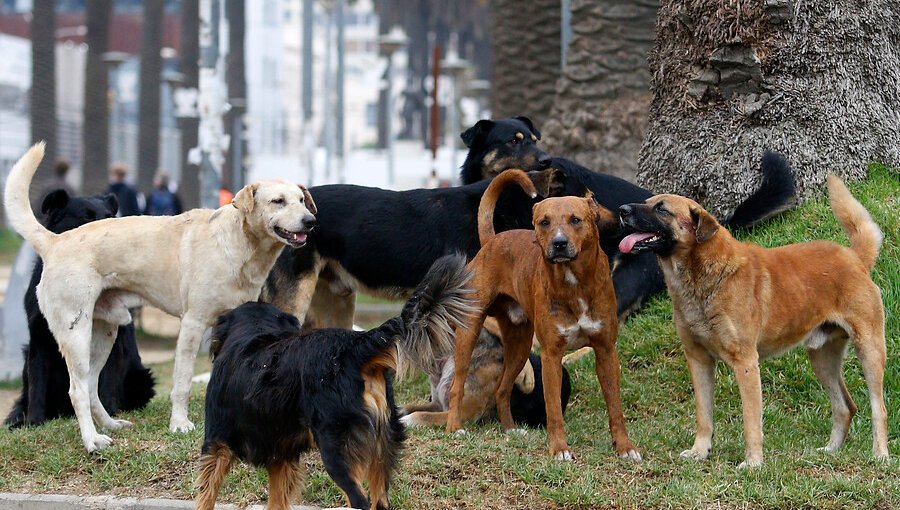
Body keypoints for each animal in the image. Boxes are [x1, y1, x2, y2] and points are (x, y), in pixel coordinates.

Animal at [4, 189, 156, 428]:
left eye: (110, 218)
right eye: (86, 218)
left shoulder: (114, 337)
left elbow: (105, 381)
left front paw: (108, 413)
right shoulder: (39, 336)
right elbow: (37, 384)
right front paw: (35, 422)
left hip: (141, 378)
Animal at [199, 256, 478, 510]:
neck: (255, 332)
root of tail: (357, 345)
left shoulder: (216, 443)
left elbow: (206, 495)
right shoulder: (282, 457)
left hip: (337, 451)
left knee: (359, 500)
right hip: (382, 445)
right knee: (379, 502)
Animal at [620, 175, 884, 466]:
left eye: (662, 209)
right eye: (648, 202)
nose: (622, 210)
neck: (705, 278)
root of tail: (855, 258)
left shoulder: (745, 363)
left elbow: (750, 421)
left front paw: (753, 463)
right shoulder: (699, 360)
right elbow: (703, 416)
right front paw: (700, 451)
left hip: (869, 351)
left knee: (878, 408)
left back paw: (880, 455)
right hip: (822, 359)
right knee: (845, 407)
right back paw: (831, 450)